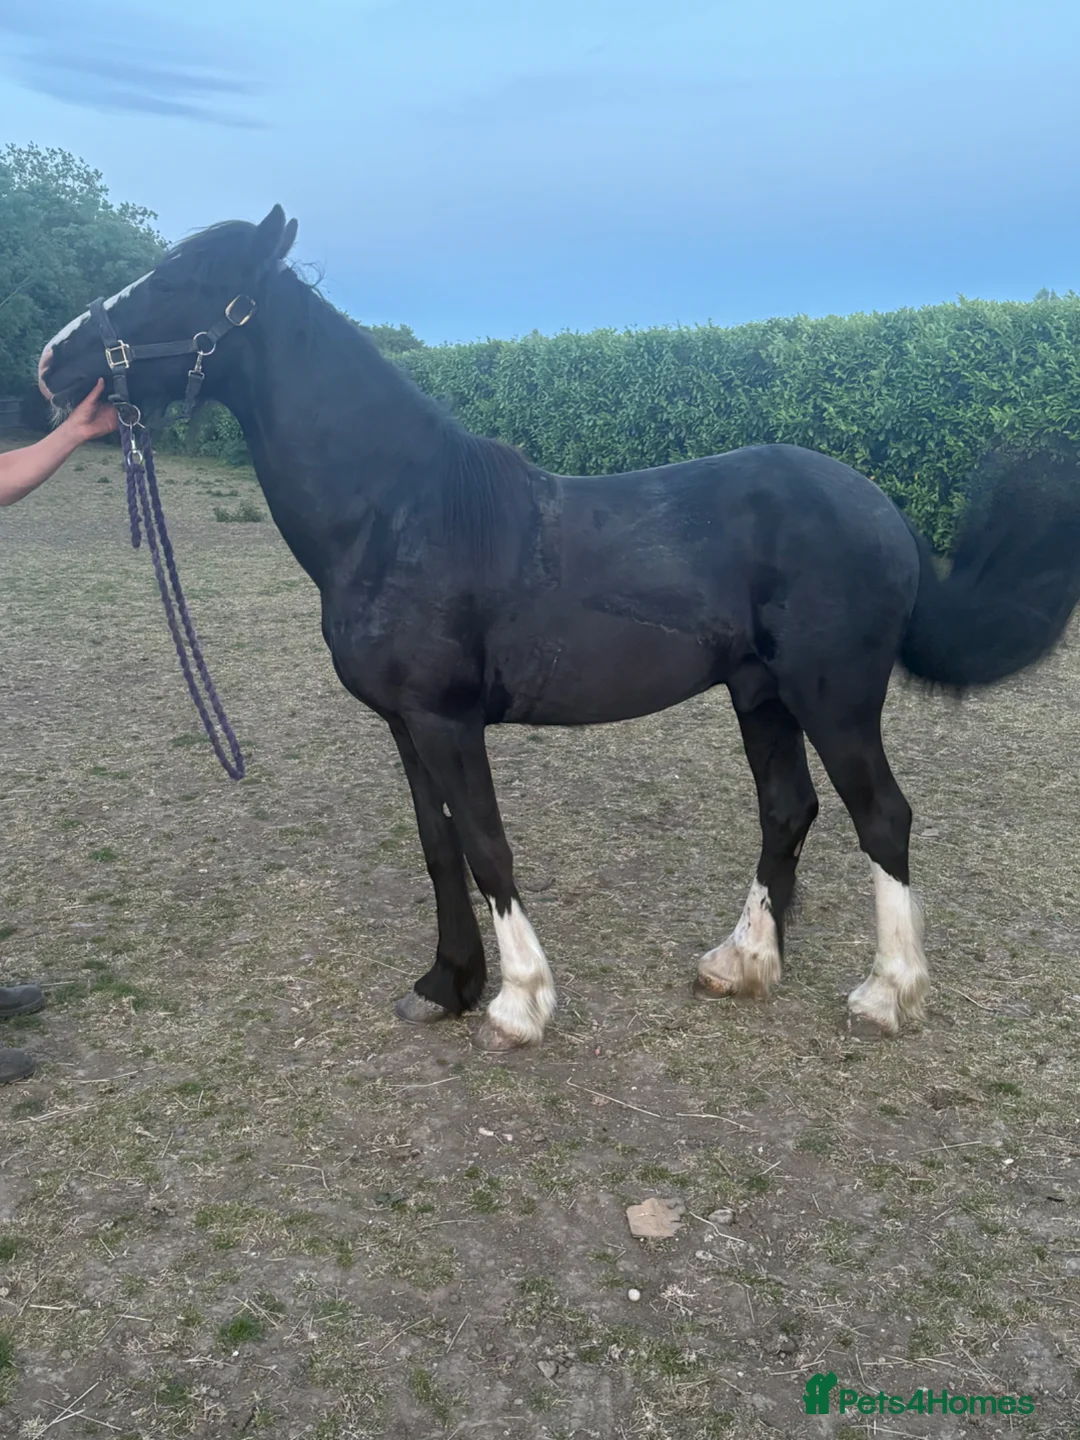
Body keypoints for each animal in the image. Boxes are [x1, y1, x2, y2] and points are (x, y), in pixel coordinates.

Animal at [38, 206, 1080, 1052]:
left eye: (181, 279)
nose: (54, 362)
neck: (398, 513)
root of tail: (880, 509)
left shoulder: (448, 720)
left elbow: (488, 844)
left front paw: (518, 1004)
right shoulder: (405, 725)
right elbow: (439, 846)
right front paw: (445, 985)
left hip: (836, 696)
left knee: (882, 818)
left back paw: (887, 996)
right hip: (761, 694)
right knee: (789, 809)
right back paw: (739, 963)